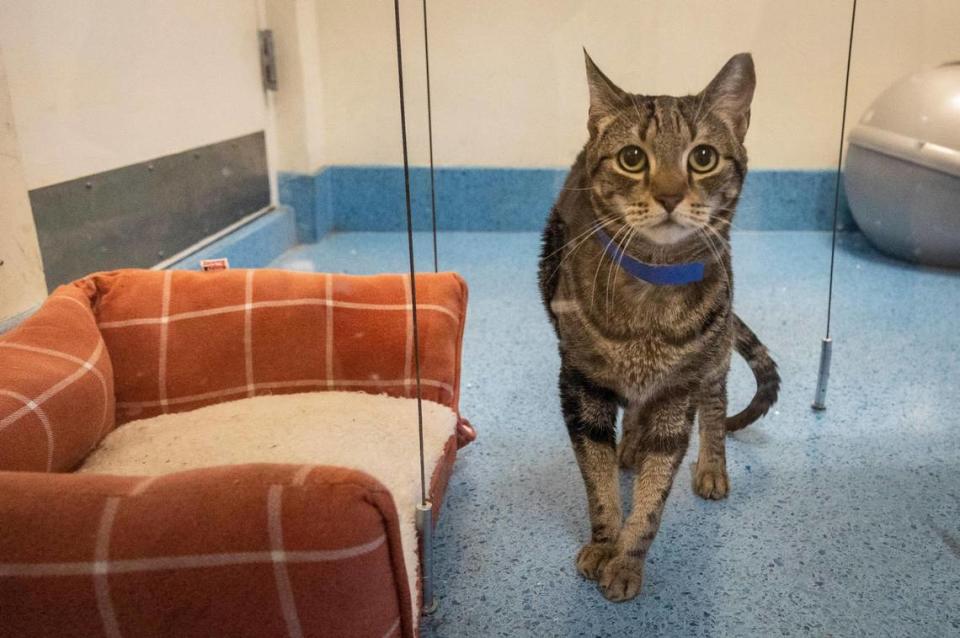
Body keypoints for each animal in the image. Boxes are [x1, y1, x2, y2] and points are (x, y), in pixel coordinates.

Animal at [540, 52, 780, 604]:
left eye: (703, 157)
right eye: (632, 157)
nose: (670, 195)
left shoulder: (677, 393)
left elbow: (654, 494)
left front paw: (628, 560)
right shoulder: (580, 384)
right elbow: (598, 479)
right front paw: (604, 543)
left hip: (711, 353)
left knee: (714, 406)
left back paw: (711, 466)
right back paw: (629, 445)